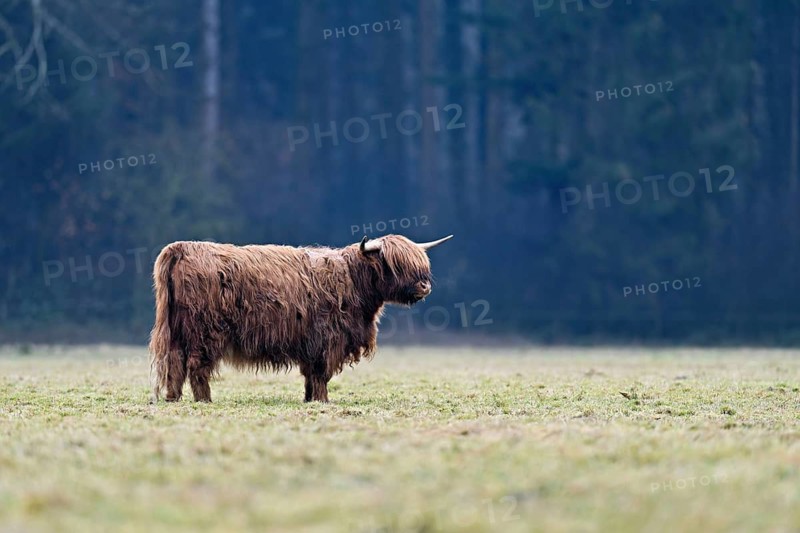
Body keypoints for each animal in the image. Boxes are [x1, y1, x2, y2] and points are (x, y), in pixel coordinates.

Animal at [149, 233, 452, 403]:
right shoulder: (327, 340)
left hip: (176, 329)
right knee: (197, 366)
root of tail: (182, 248)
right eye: (395, 264)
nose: (424, 286)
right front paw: (322, 401)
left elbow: (309, 374)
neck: (354, 280)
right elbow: (321, 374)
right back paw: (205, 400)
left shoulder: (311, 343)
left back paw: (173, 398)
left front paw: (309, 399)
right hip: (205, 331)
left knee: (174, 362)